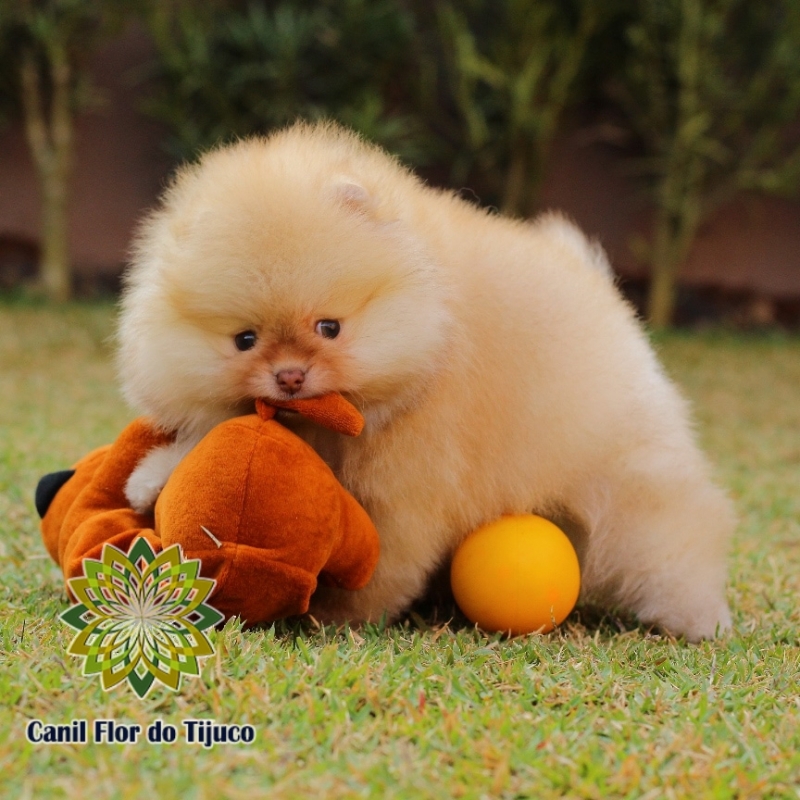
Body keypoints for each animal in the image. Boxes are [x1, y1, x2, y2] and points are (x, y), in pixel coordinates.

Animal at [115, 122, 736, 640]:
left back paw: (701, 619)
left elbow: (383, 559)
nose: (289, 375)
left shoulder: (408, 481)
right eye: (244, 340)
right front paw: (150, 479)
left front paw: (339, 618)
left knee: (672, 531)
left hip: (629, 476)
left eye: (329, 327)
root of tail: (601, 291)